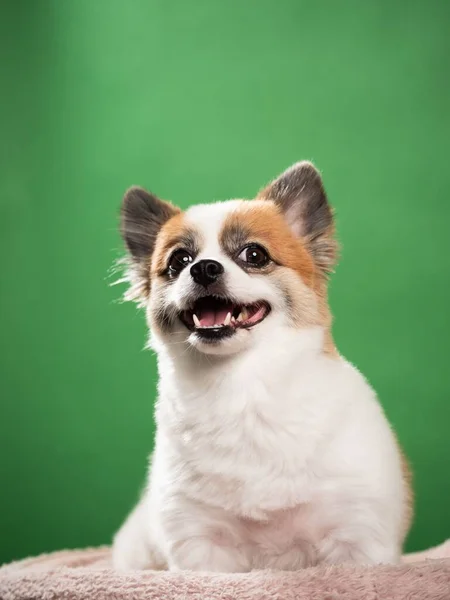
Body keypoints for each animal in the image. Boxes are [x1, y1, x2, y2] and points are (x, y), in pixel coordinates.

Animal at [111, 161, 412, 572]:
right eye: (178, 262)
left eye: (254, 255)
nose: (203, 269)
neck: (242, 386)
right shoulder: (200, 544)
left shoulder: (358, 535)